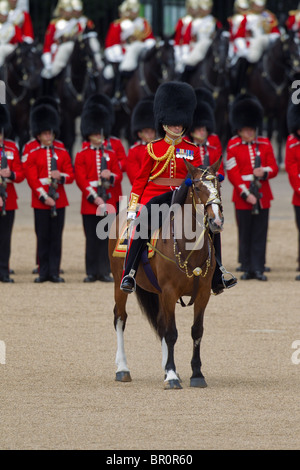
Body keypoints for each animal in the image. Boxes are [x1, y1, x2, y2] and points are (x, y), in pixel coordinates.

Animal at [109, 158, 224, 390]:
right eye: (198, 188)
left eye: (219, 185)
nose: (216, 222)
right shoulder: (170, 292)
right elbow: (172, 333)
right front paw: (171, 376)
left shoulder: (202, 294)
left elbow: (196, 331)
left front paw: (195, 374)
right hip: (119, 283)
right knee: (120, 317)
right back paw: (123, 368)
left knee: (160, 322)